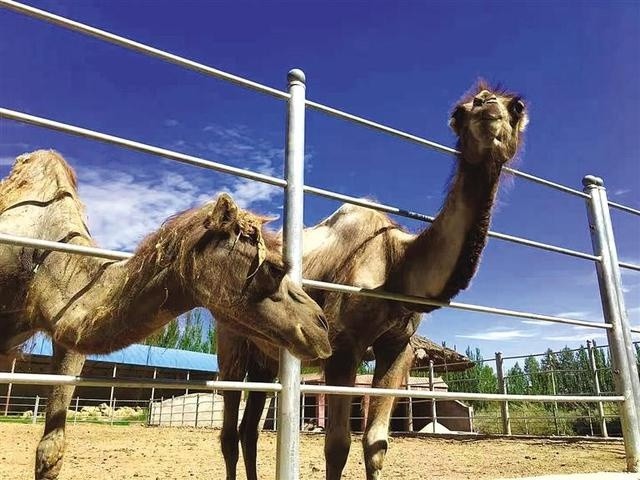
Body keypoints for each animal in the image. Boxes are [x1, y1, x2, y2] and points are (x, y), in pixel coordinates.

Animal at [218, 82, 528, 480]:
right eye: (459, 113)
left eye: (516, 107)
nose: (487, 106)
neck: (396, 265)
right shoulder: (342, 343)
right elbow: (337, 445)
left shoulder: (398, 346)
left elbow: (377, 443)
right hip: (231, 341)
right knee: (229, 430)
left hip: (266, 360)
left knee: (249, 430)